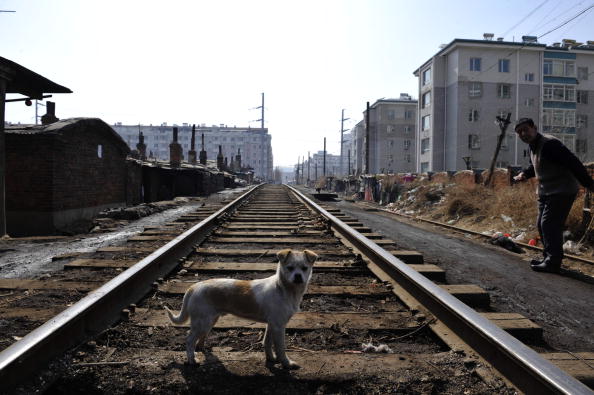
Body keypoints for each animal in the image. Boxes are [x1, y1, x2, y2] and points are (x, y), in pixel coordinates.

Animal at [164, 249, 316, 370]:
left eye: (304, 268)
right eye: (290, 268)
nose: (298, 276)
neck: (282, 288)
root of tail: (193, 287)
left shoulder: (272, 324)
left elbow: (267, 343)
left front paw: (271, 359)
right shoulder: (279, 325)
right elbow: (280, 349)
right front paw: (287, 364)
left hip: (209, 321)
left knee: (199, 338)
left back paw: (201, 348)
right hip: (202, 322)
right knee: (189, 340)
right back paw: (192, 360)